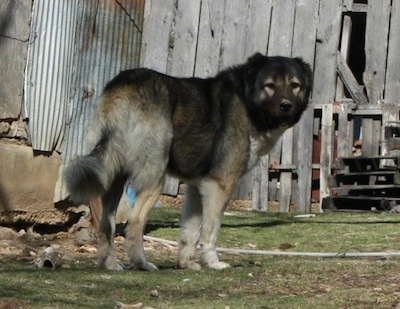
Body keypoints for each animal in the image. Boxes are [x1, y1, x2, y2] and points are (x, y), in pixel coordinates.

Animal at [64, 53, 312, 270]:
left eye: (295, 85)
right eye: (270, 85)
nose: (286, 105)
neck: (246, 100)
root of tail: (125, 86)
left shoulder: (195, 188)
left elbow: (190, 233)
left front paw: (186, 264)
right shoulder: (219, 185)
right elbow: (210, 230)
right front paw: (212, 262)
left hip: (113, 173)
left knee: (105, 219)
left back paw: (111, 264)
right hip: (154, 177)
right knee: (134, 222)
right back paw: (142, 263)